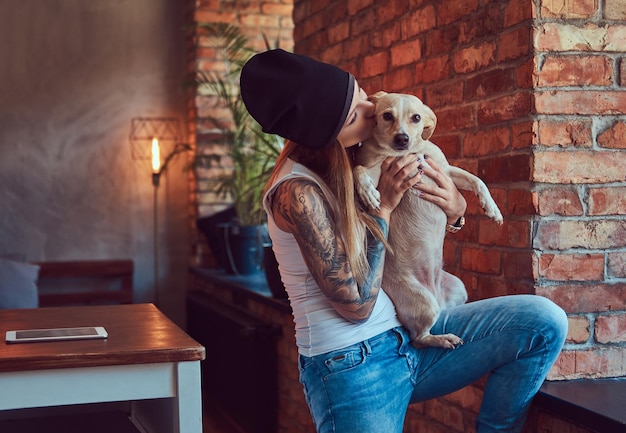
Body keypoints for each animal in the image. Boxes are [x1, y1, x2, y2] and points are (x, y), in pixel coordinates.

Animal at [354, 91, 500, 348]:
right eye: (387, 116)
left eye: (416, 117)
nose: (402, 138)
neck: (405, 154)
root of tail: (437, 297)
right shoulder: (376, 170)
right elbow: (358, 170)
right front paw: (367, 191)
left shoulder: (445, 172)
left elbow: (476, 180)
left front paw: (492, 208)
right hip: (424, 303)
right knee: (418, 338)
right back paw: (443, 339)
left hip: (458, 288)